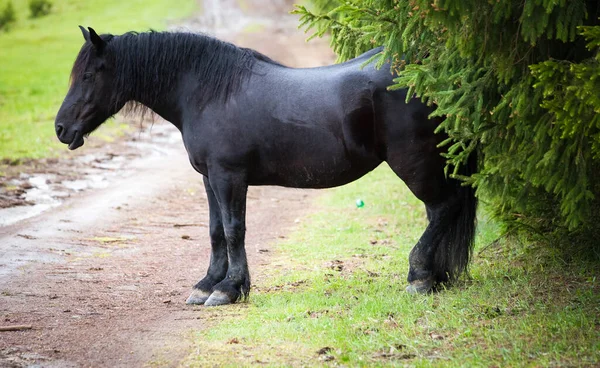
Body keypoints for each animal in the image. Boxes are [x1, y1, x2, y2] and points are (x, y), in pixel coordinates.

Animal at [56, 27, 478, 306]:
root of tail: (435, 74)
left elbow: (233, 230)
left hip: (414, 163)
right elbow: (215, 231)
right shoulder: (209, 179)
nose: (61, 128)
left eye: (90, 74)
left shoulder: (228, 177)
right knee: (440, 213)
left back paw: (419, 277)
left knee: (444, 208)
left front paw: (229, 289)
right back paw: (436, 277)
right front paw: (207, 284)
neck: (210, 92)